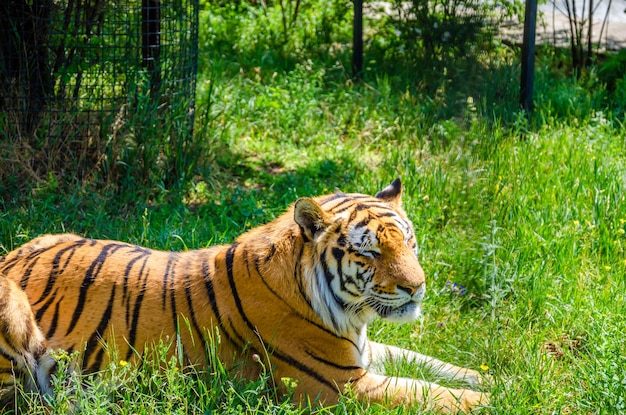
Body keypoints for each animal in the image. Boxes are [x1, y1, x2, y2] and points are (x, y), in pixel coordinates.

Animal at [0, 178, 486, 412]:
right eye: (370, 251)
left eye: (410, 242)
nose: (417, 287)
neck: (351, 316)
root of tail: (11, 256)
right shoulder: (340, 385)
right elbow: (431, 394)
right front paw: (492, 400)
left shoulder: (361, 354)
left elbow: (430, 365)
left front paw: (490, 378)